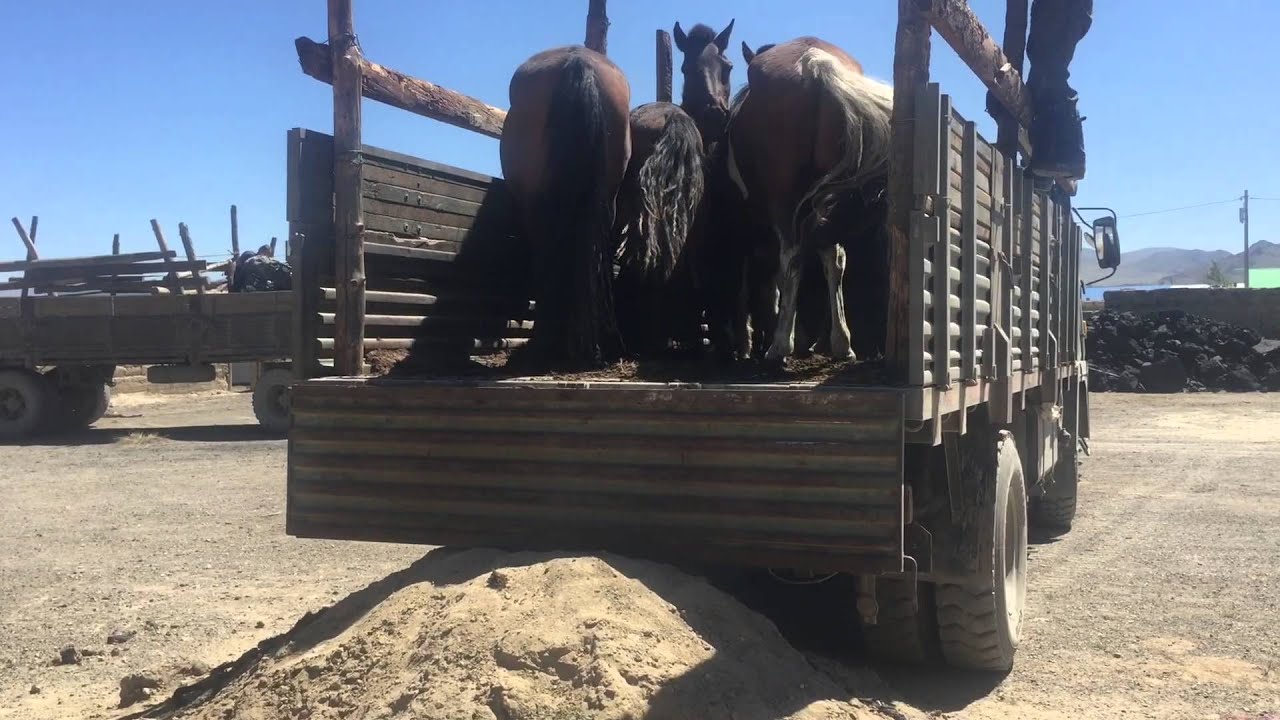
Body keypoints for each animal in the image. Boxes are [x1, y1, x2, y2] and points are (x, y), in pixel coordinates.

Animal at [727, 36, 893, 365]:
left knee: (792, 258)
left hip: (785, 199)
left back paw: (779, 346)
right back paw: (841, 344)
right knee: (835, 258)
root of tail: (814, 62)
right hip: (826, 195)